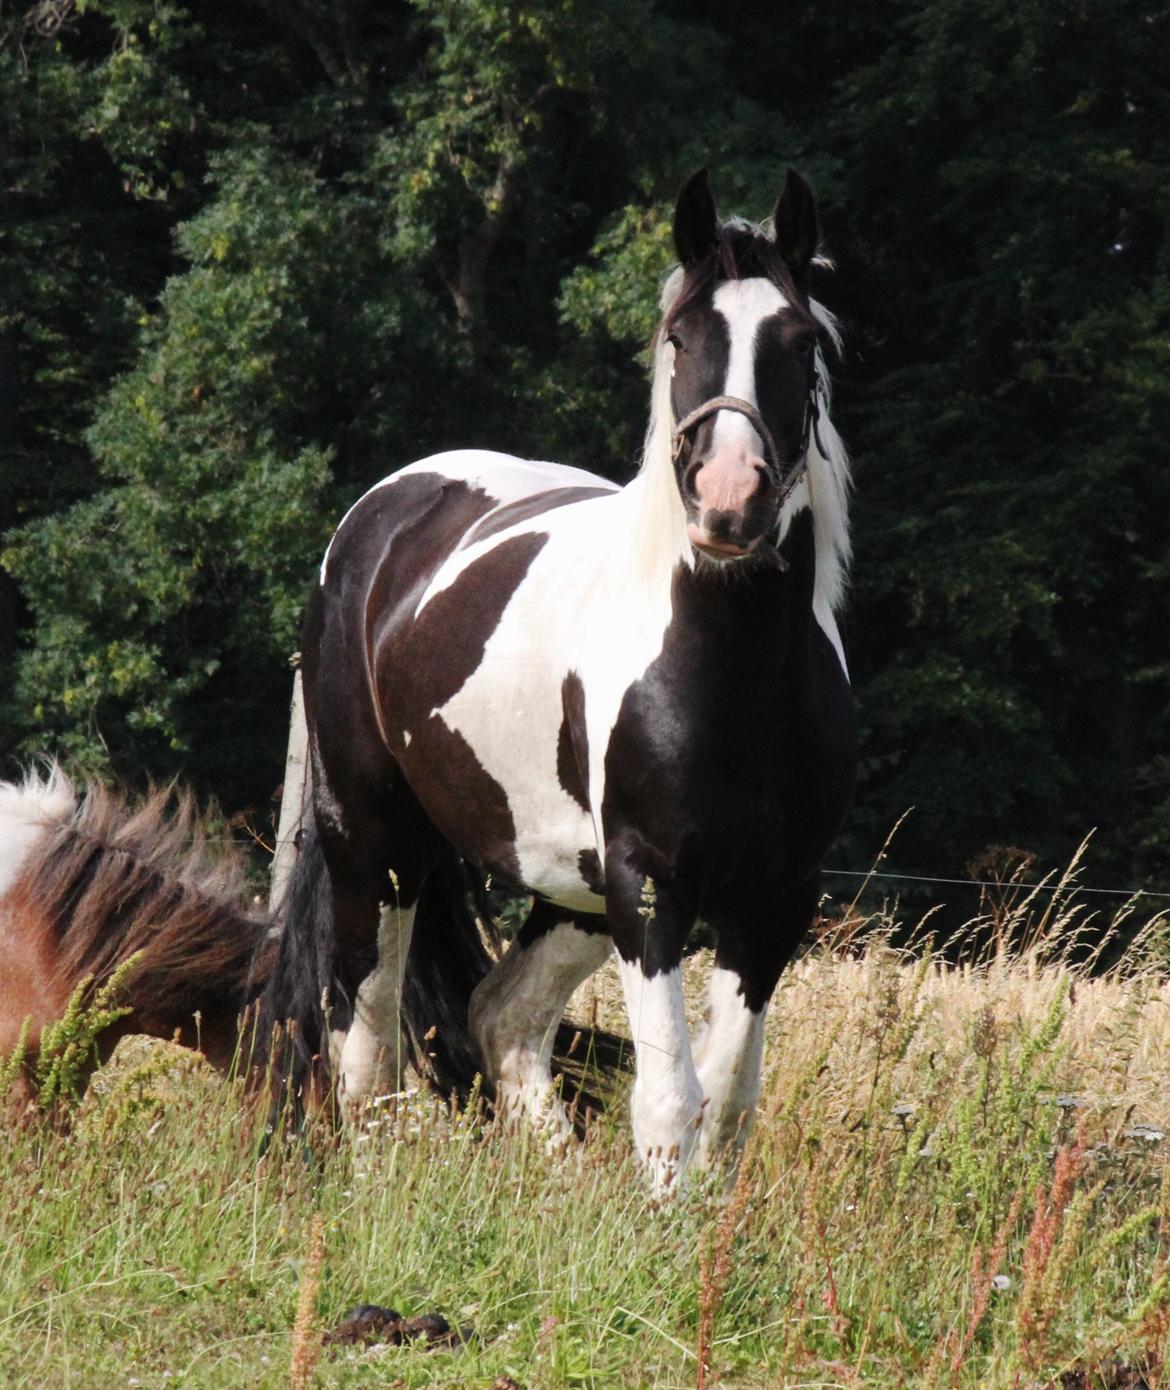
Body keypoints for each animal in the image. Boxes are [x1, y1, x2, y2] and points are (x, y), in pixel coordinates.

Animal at [259, 165, 850, 1184]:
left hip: (566, 884)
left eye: (799, 340)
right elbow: (669, 1102)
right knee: (362, 1036)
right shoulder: (649, 887)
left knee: (500, 1014)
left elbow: (727, 1106)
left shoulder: (776, 896)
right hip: (375, 840)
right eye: (680, 339)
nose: (728, 502)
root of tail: (384, 514)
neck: (732, 680)